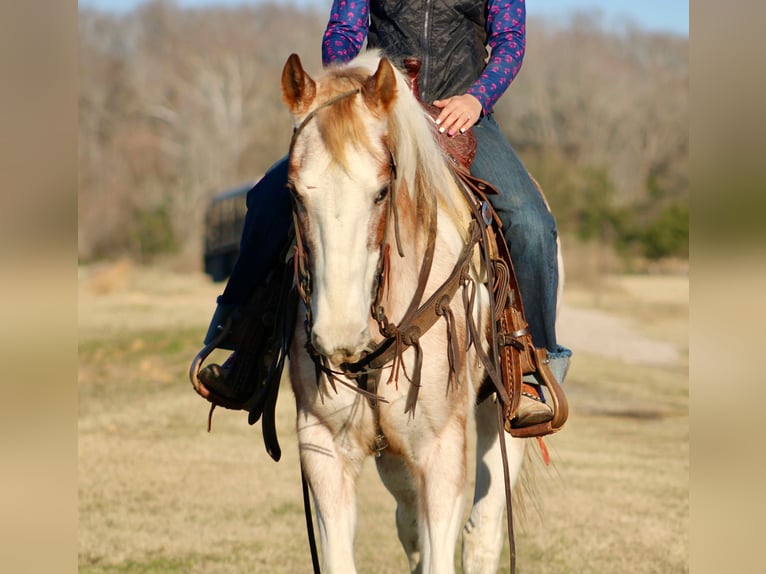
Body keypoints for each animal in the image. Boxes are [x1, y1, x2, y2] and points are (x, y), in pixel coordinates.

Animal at [283, 50, 527, 574]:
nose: (338, 335)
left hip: (505, 414)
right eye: (293, 192)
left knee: (483, 530)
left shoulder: (442, 452)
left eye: (381, 191)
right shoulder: (324, 447)